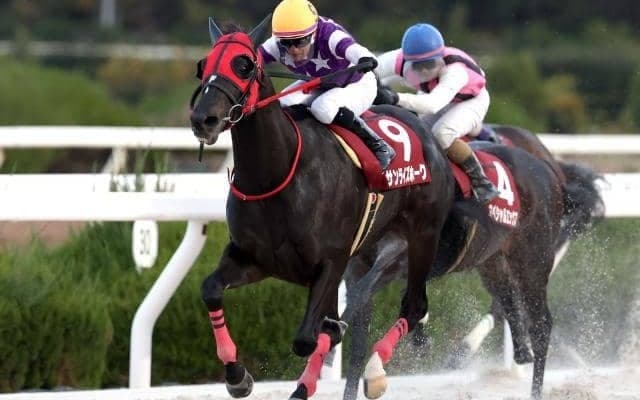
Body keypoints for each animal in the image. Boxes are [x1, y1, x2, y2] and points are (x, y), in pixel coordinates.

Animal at [190, 17, 457, 400]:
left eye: (244, 65)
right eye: (203, 65)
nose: (204, 120)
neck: (277, 175)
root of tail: (427, 134)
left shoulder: (331, 261)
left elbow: (309, 338)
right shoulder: (254, 258)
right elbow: (211, 290)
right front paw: (237, 375)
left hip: (422, 236)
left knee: (415, 305)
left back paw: (375, 374)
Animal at [337, 125, 605, 400]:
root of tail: (550, 172)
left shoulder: (398, 257)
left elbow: (366, 298)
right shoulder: (358, 264)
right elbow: (359, 334)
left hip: (532, 261)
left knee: (540, 324)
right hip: (493, 261)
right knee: (507, 300)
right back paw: (515, 352)